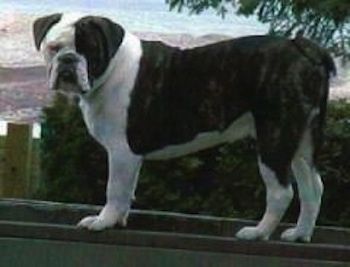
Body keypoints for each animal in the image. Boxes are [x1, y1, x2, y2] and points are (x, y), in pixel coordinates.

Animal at [33, 12, 336, 243]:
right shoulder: (130, 158)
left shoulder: (120, 152)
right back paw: (300, 233)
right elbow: (127, 190)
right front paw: (118, 219)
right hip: (301, 140)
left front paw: (103, 221)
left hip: (274, 137)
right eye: (53, 48)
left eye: (90, 50)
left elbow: (115, 190)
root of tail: (303, 47)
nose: (68, 60)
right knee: (313, 187)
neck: (111, 68)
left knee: (281, 192)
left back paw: (258, 232)